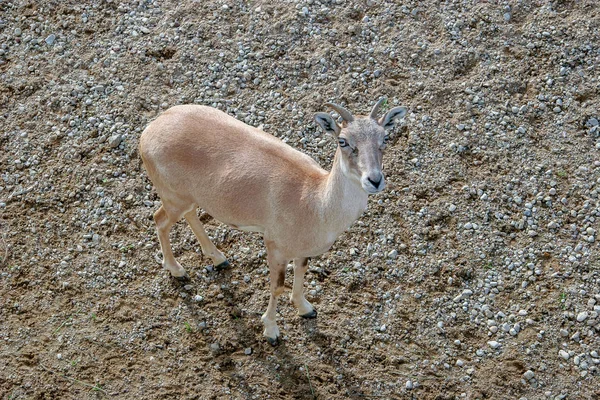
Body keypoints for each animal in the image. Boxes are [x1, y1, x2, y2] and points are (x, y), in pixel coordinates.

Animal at [139, 100, 408, 344]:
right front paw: (271, 331)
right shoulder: (274, 245)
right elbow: (277, 286)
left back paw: (219, 259)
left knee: (190, 214)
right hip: (173, 196)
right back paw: (177, 271)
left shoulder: (301, 249)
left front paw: (306, 309)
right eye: (343, 141)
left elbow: (302, 271)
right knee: (160, 220)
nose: (374, 180)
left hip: (188, 197)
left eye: (385, 138)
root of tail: (150, 129)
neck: (314, 201)